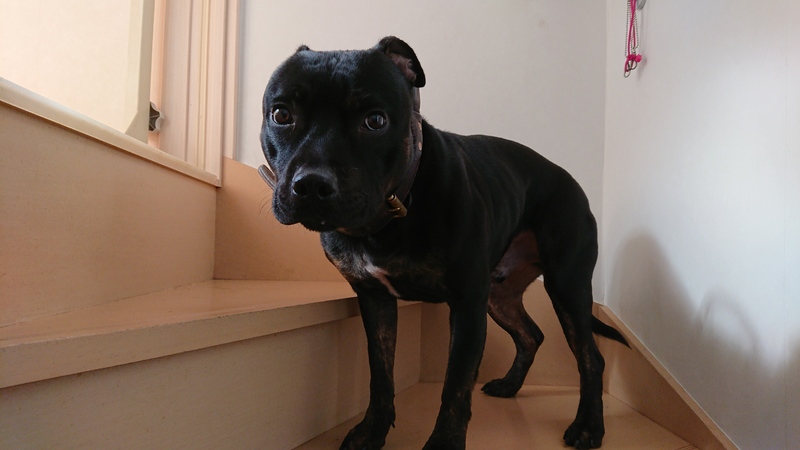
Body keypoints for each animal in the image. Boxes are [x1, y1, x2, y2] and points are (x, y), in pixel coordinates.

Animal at [258, 36, 628, 450]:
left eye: (375, 121)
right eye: (281, 114)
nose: (311, 184)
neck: (393, 211)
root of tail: (572, 181)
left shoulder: (466, 305)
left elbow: (455, 386)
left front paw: (444, 443)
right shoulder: (375, 300)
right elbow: (380, 373)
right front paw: (371, 431)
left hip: (567, 286)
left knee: (590, 357)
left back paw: (589, 426)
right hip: (499, 296)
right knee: (531, 335)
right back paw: (510, 386)